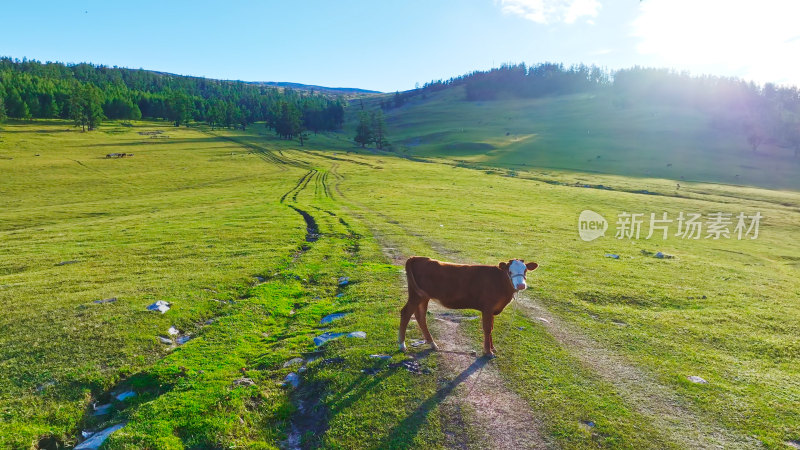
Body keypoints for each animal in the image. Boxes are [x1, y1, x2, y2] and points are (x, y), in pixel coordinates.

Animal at [398, 256, 536, 356]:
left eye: (525, 270)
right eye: (510, 271)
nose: (521, 285)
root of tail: (417, 258)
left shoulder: (492, 310)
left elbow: (491, 328)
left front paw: (493, 348)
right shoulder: (487, 308)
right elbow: (487, 329)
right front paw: (488, 351)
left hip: (423, 297)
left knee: (420, 316)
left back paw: (432, 344)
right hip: (416, 296)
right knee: (406, 313)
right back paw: (402, 345)